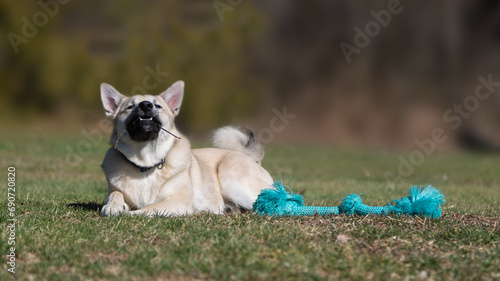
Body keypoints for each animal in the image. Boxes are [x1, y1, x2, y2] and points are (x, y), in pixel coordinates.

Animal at [98, 80, 274, 215]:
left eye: (157, 106)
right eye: (129, 107)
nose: (146, 105)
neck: (145, 163)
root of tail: (253, 159)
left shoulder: (178, 201)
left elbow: (152, 207)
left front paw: (133, 214)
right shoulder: (115, 191)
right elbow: (115, 194)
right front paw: (112, 206)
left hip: (232, 180)